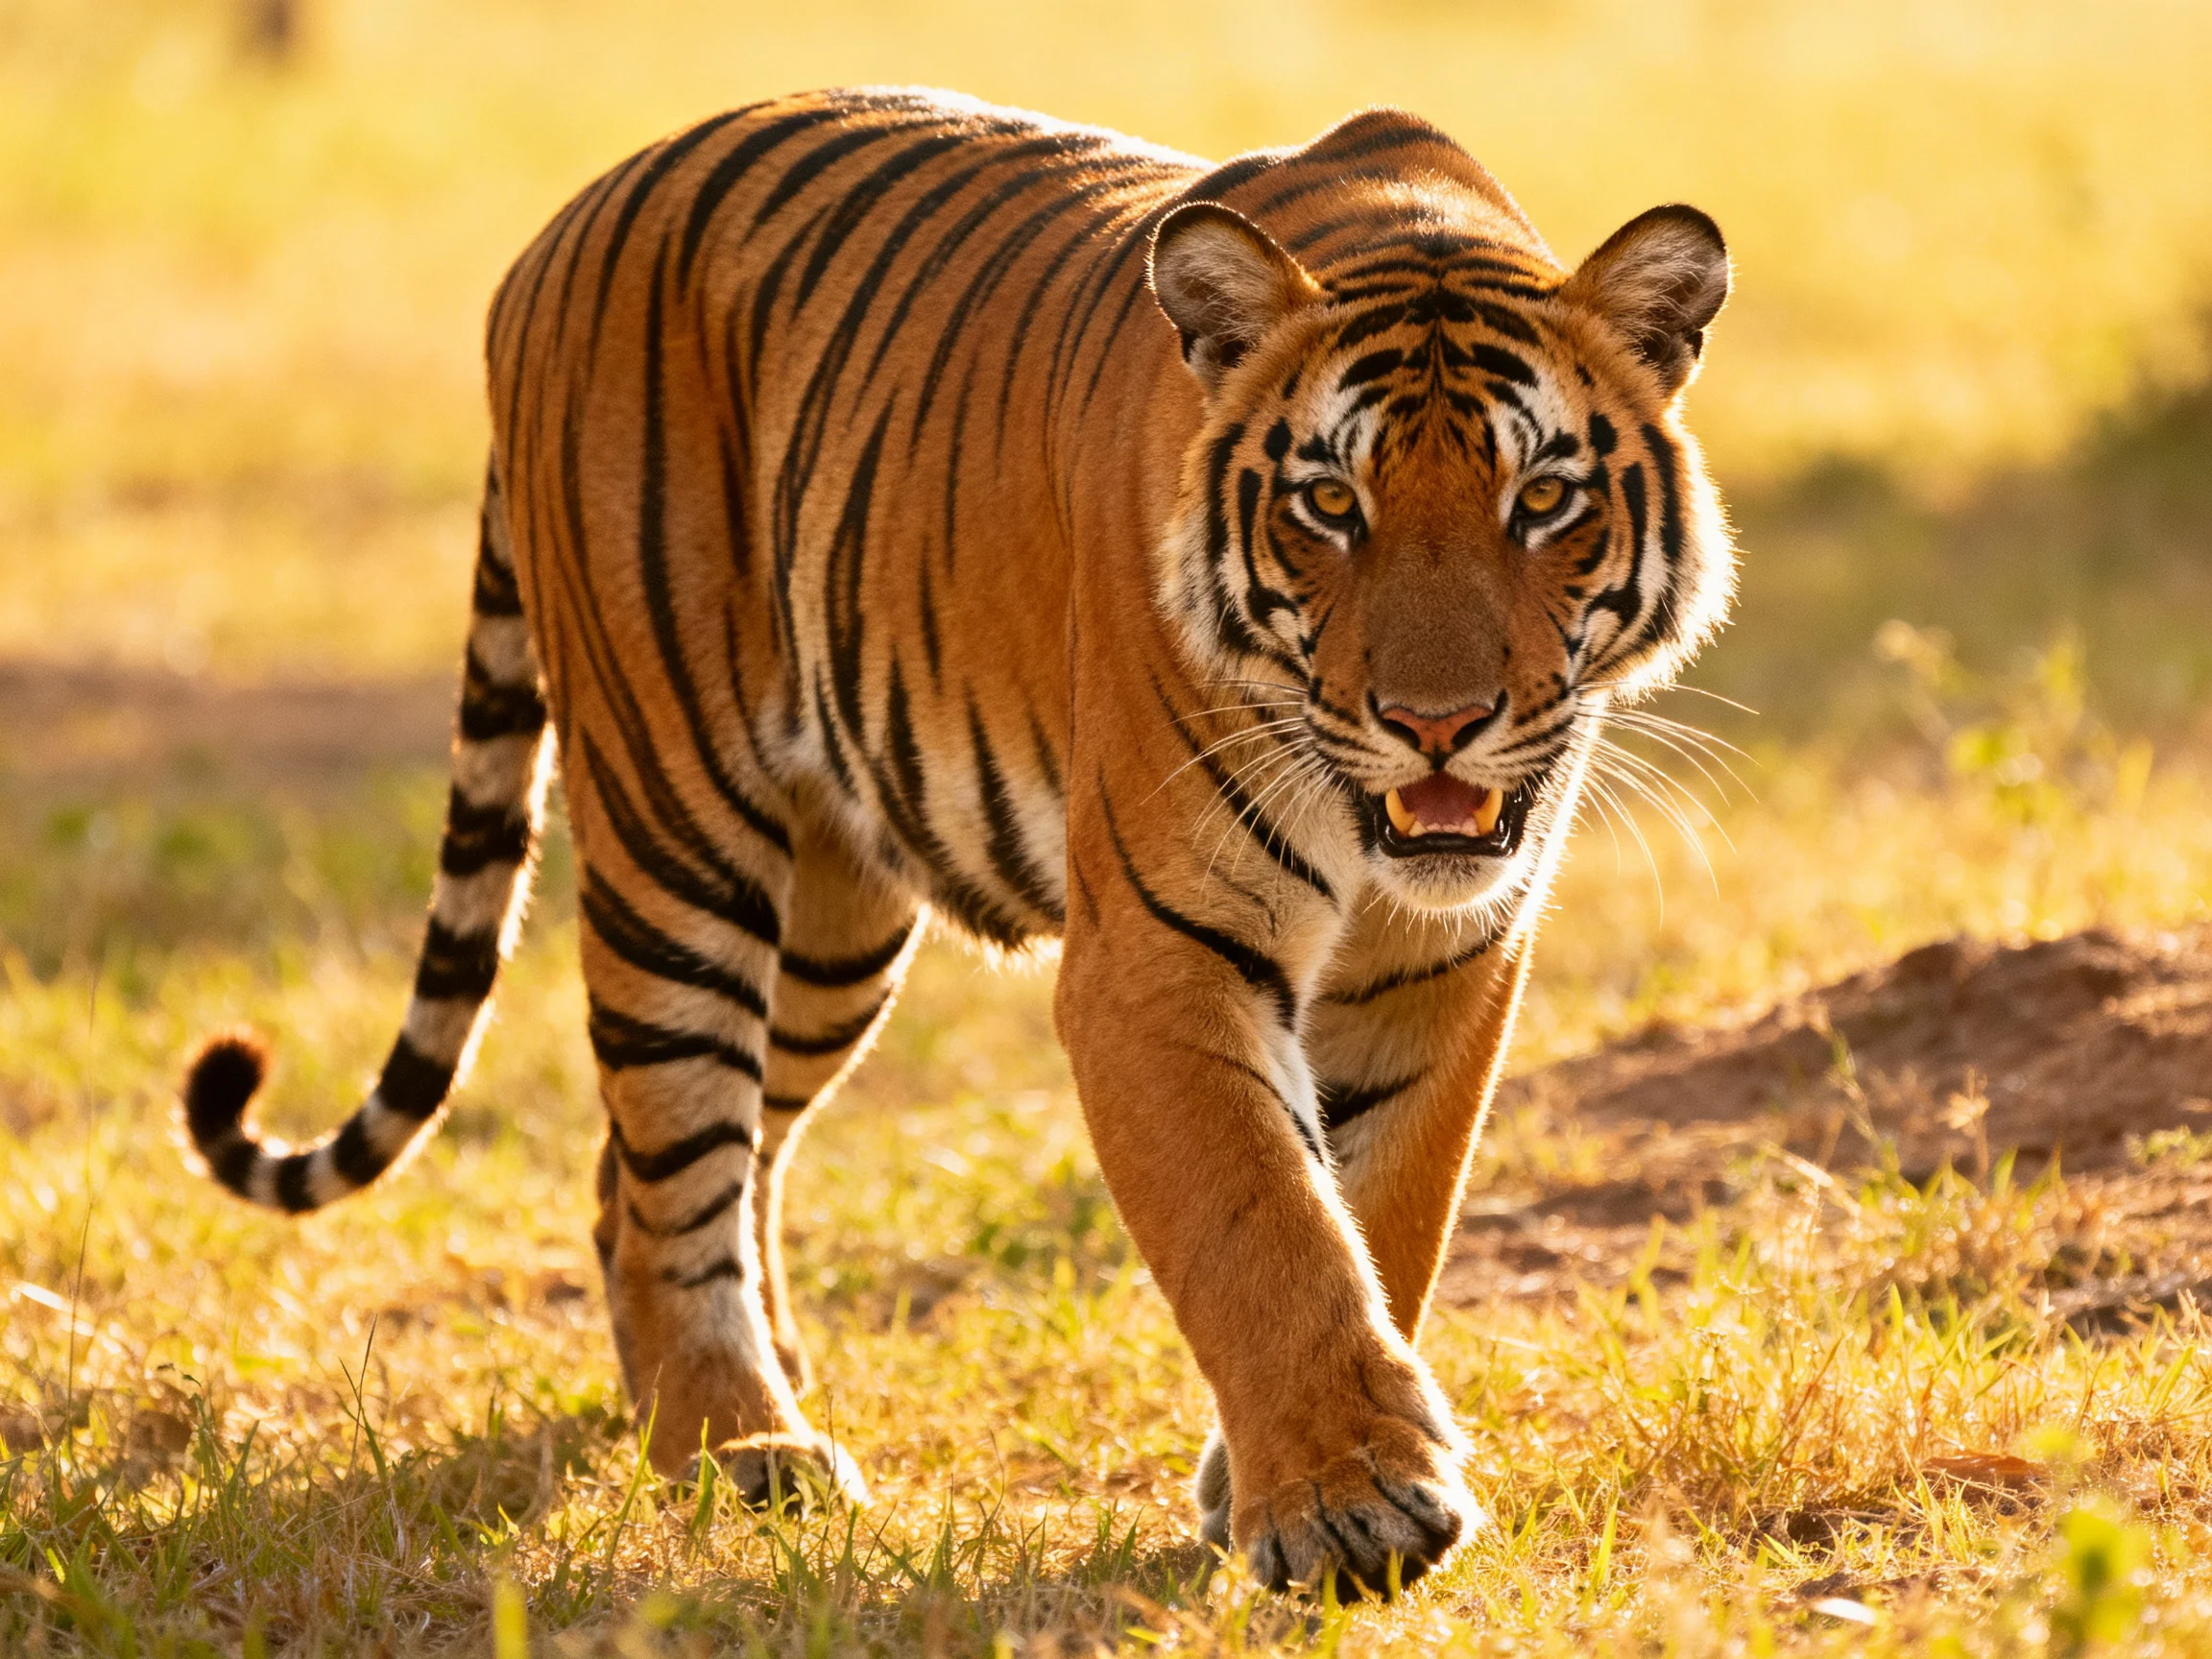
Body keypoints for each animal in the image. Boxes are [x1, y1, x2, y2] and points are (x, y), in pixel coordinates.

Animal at [182, 87, 1731, 1596]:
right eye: (1329, 504)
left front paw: (1277, 1477)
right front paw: (1350, 1509)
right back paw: (740, 1447)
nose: (1436, 724)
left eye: (1544, 499)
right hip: (678, 838)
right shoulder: (1158, 962)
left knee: (663, 1168)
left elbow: (1383, 1216)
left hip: (829, 932)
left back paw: (742, 1390)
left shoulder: (1439, 964)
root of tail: (557, 231)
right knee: (672, 1147)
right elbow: (1266, 1225)